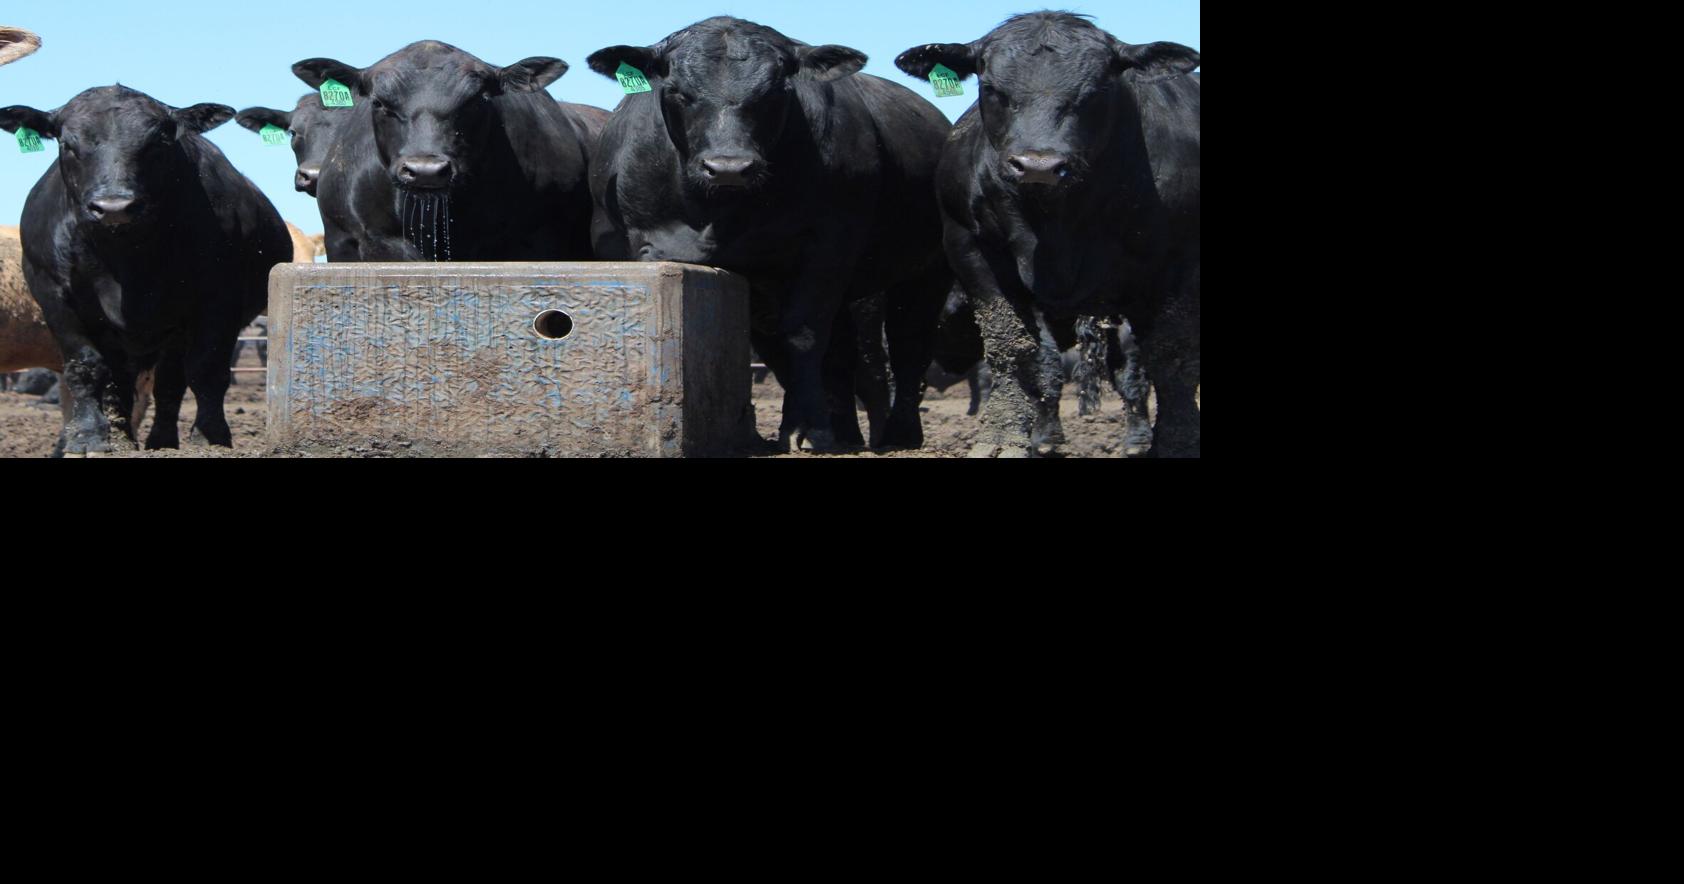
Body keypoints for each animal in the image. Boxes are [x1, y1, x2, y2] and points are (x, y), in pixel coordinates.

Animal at [0, 85, 291, 456]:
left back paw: (161, 441)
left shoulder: (219, 299)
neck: (126, 260)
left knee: (170, 382)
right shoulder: (54, 295)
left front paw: (210, 436)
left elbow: (207, 369)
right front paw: (89, 438)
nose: (114, 206)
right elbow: (84, 366)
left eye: (158, 141)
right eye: (67, 143)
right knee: (122, 382)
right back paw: (123, 437)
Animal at [587, 16, 953, 452]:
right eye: (677, 91)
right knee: (843, 353)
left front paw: (805, 426)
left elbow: (804, 334)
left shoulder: (829, 247)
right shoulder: (642, 245)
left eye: (775, 91)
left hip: (928, 272)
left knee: (908, 345)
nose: (728, 167)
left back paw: (898, 433)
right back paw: (846, 431)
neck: (717, 213)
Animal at [897, 13, 1200, 457]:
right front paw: (1003, 438)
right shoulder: (971, 250)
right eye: (991, 87)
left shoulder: (1180, 260)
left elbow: (1172, 354)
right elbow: (1012, 349)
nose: (1038, 165)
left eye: (1097, 90)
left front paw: (1178, 442)